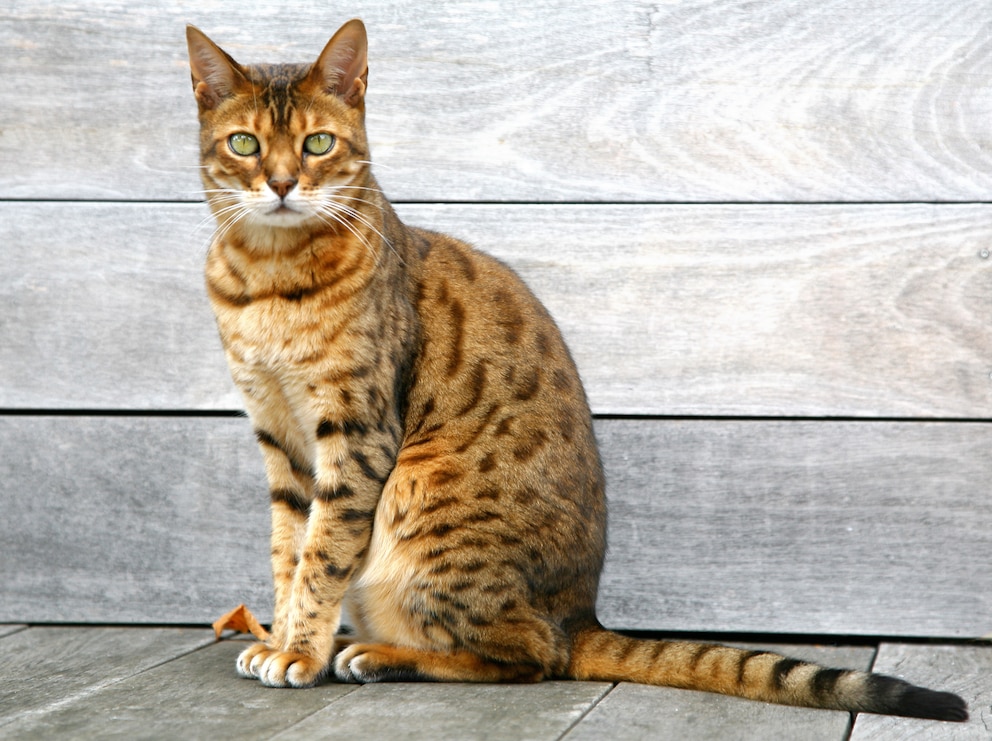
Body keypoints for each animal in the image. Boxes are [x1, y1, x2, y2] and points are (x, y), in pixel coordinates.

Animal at [186, 18, 968, 724]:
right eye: (245, 143)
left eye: (317, 143)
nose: (281, 183)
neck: (268, 277)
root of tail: (582, 611)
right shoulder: (279, 435)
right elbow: (288, 551)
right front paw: (281, 638)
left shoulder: (355, 430)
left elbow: (322, 554)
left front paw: (300, 651)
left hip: (420, 492)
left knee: (532, 654)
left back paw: (378, 654)